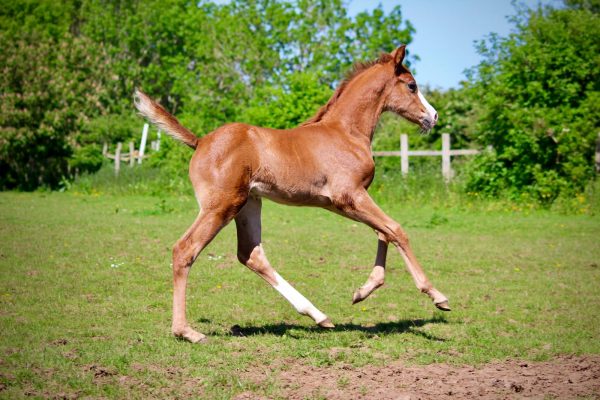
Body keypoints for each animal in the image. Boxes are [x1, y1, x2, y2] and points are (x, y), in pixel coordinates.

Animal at [134, 45, 448, 342]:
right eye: (412, 85)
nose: (433, 116)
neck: (346, 133)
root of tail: (200, 141)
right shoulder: (350, 197)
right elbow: (396, 229)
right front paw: (436, 295)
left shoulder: (348, 202)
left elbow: (384, 232)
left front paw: (363, 291)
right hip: (221, 206)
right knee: (185, 249)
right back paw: (186, 332)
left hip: (249, 204)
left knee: (251, 254)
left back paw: (318, 315)